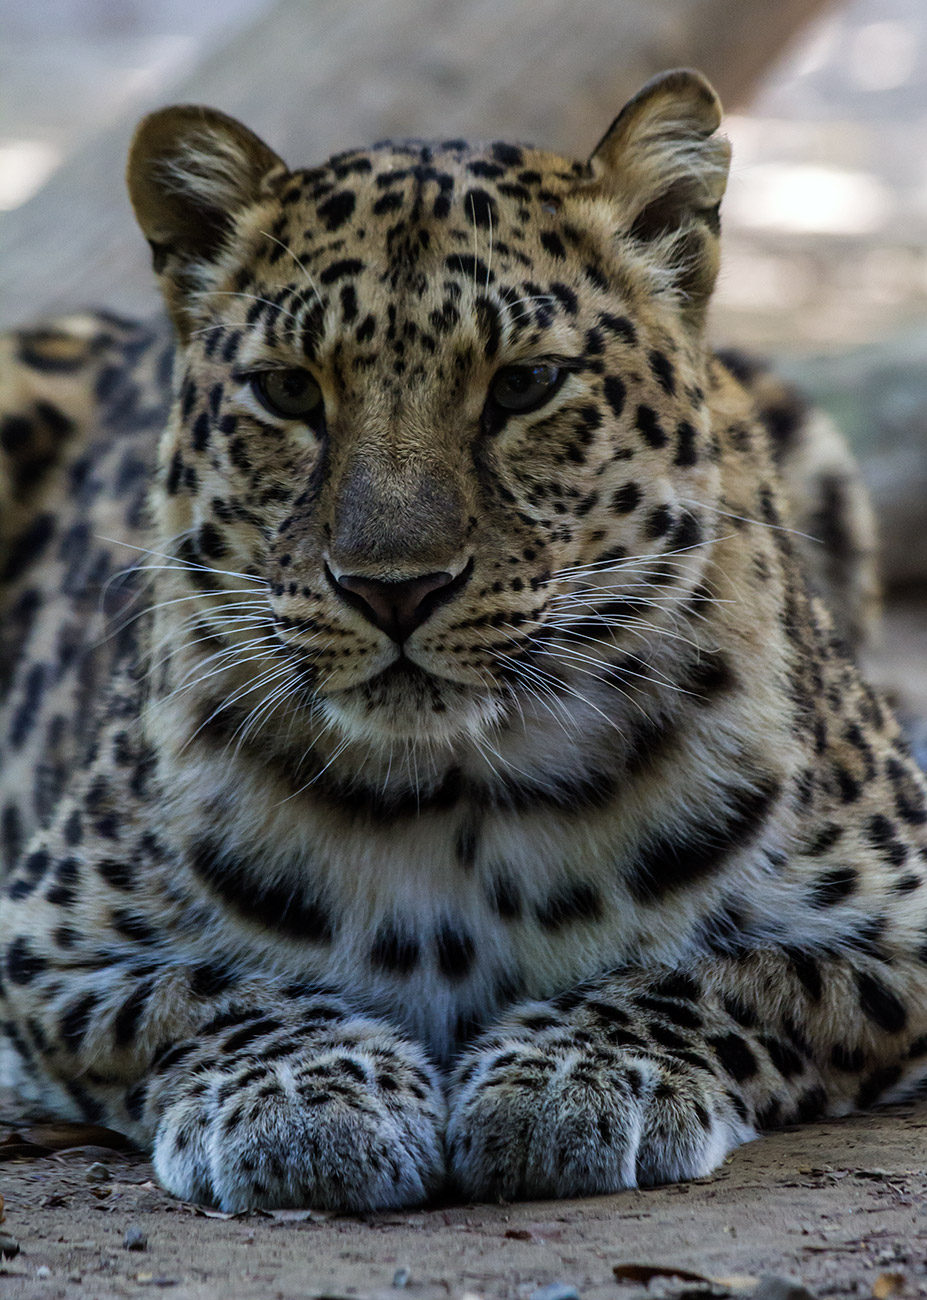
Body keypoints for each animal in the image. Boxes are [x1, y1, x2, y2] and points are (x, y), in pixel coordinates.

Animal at [1, 68, 924, 1215]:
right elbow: (204, 995)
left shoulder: (896, 923)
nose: (394, 590)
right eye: (289, 390)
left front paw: (574, 1076)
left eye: (526, 384)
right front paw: (308, 1096)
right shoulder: (51, 943)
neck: (459, 797)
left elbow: (729, 978)